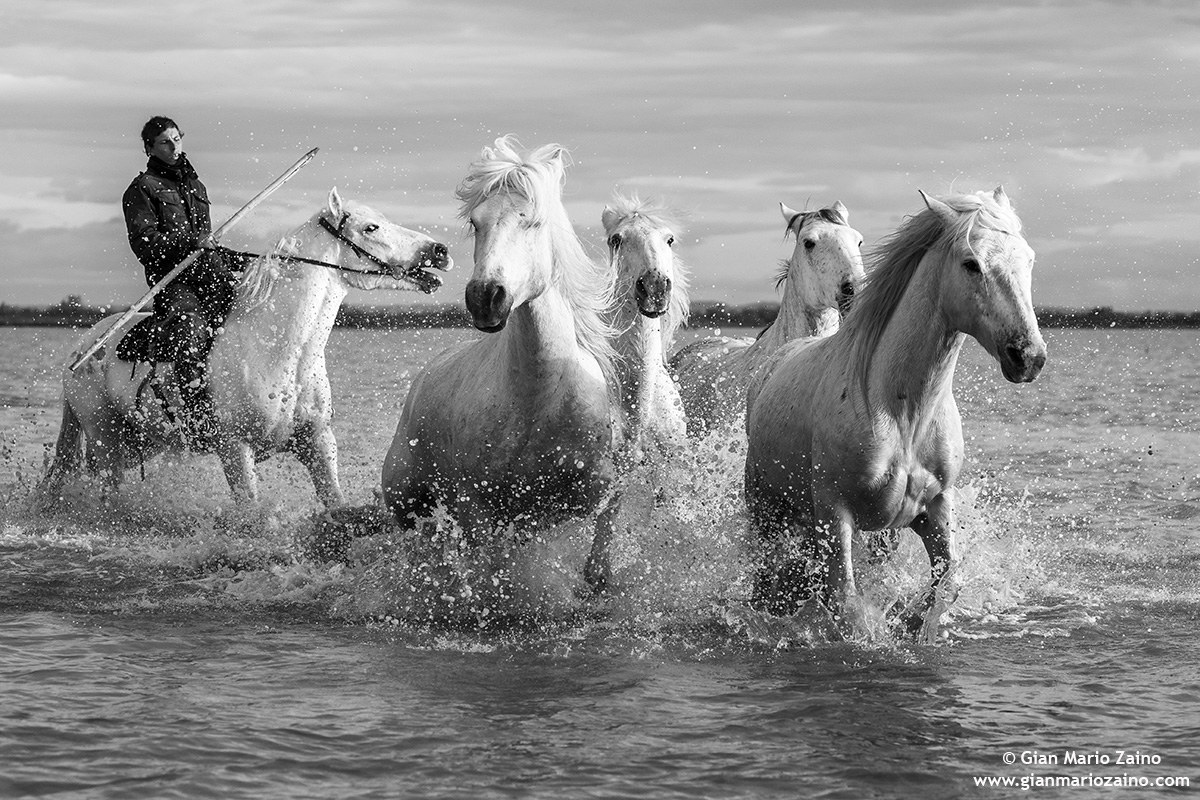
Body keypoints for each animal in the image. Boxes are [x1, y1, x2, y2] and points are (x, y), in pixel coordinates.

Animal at [38, 188, 452, 508]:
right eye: (370, 227)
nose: (441, 250)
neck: (279, 350)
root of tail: (81, 348)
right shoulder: (235, 448)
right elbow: (253, 514)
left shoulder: (318, 440)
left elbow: (335, 503)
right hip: (105, 436)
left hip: (142, 439)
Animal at [380, 137, 619, 590]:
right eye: (476, 223)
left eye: (534, 223)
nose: (485, 297)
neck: (539, 398)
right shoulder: (476, 503)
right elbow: (490, 573)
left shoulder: (590, 490)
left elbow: (599, 543)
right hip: (406, 500)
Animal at [743, 187, 1046, 641]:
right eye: (971, 263)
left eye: (1028, 258)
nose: (1027, 357)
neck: (900, 410)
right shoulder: (835, 514)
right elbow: (847, 601)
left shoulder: (933, 508)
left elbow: (948, 581)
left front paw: (911, 621)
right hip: (766, 509)